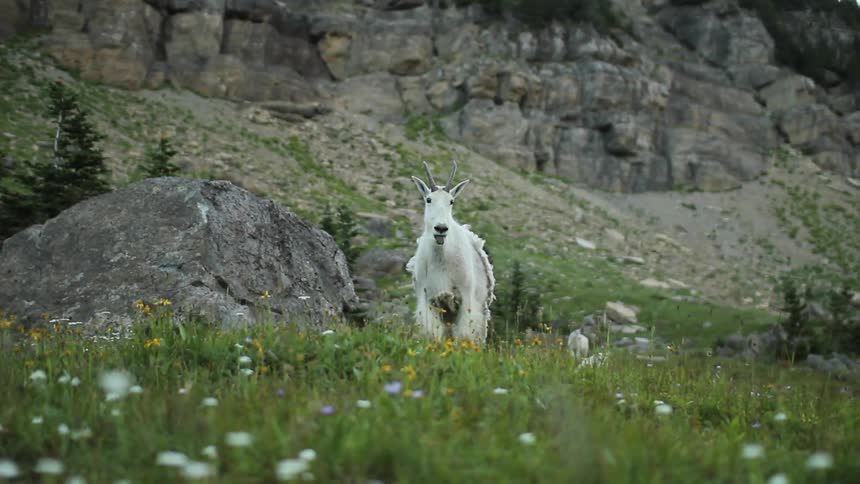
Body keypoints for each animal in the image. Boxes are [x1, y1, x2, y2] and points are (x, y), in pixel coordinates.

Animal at [406, 161, 495, 344]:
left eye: (451, 201)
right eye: (428, 199)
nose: (441, 228)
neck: (441, 257)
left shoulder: (465, 300)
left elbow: (464, 335)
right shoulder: (430, 300)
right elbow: (433, 334)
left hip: (481, 309)